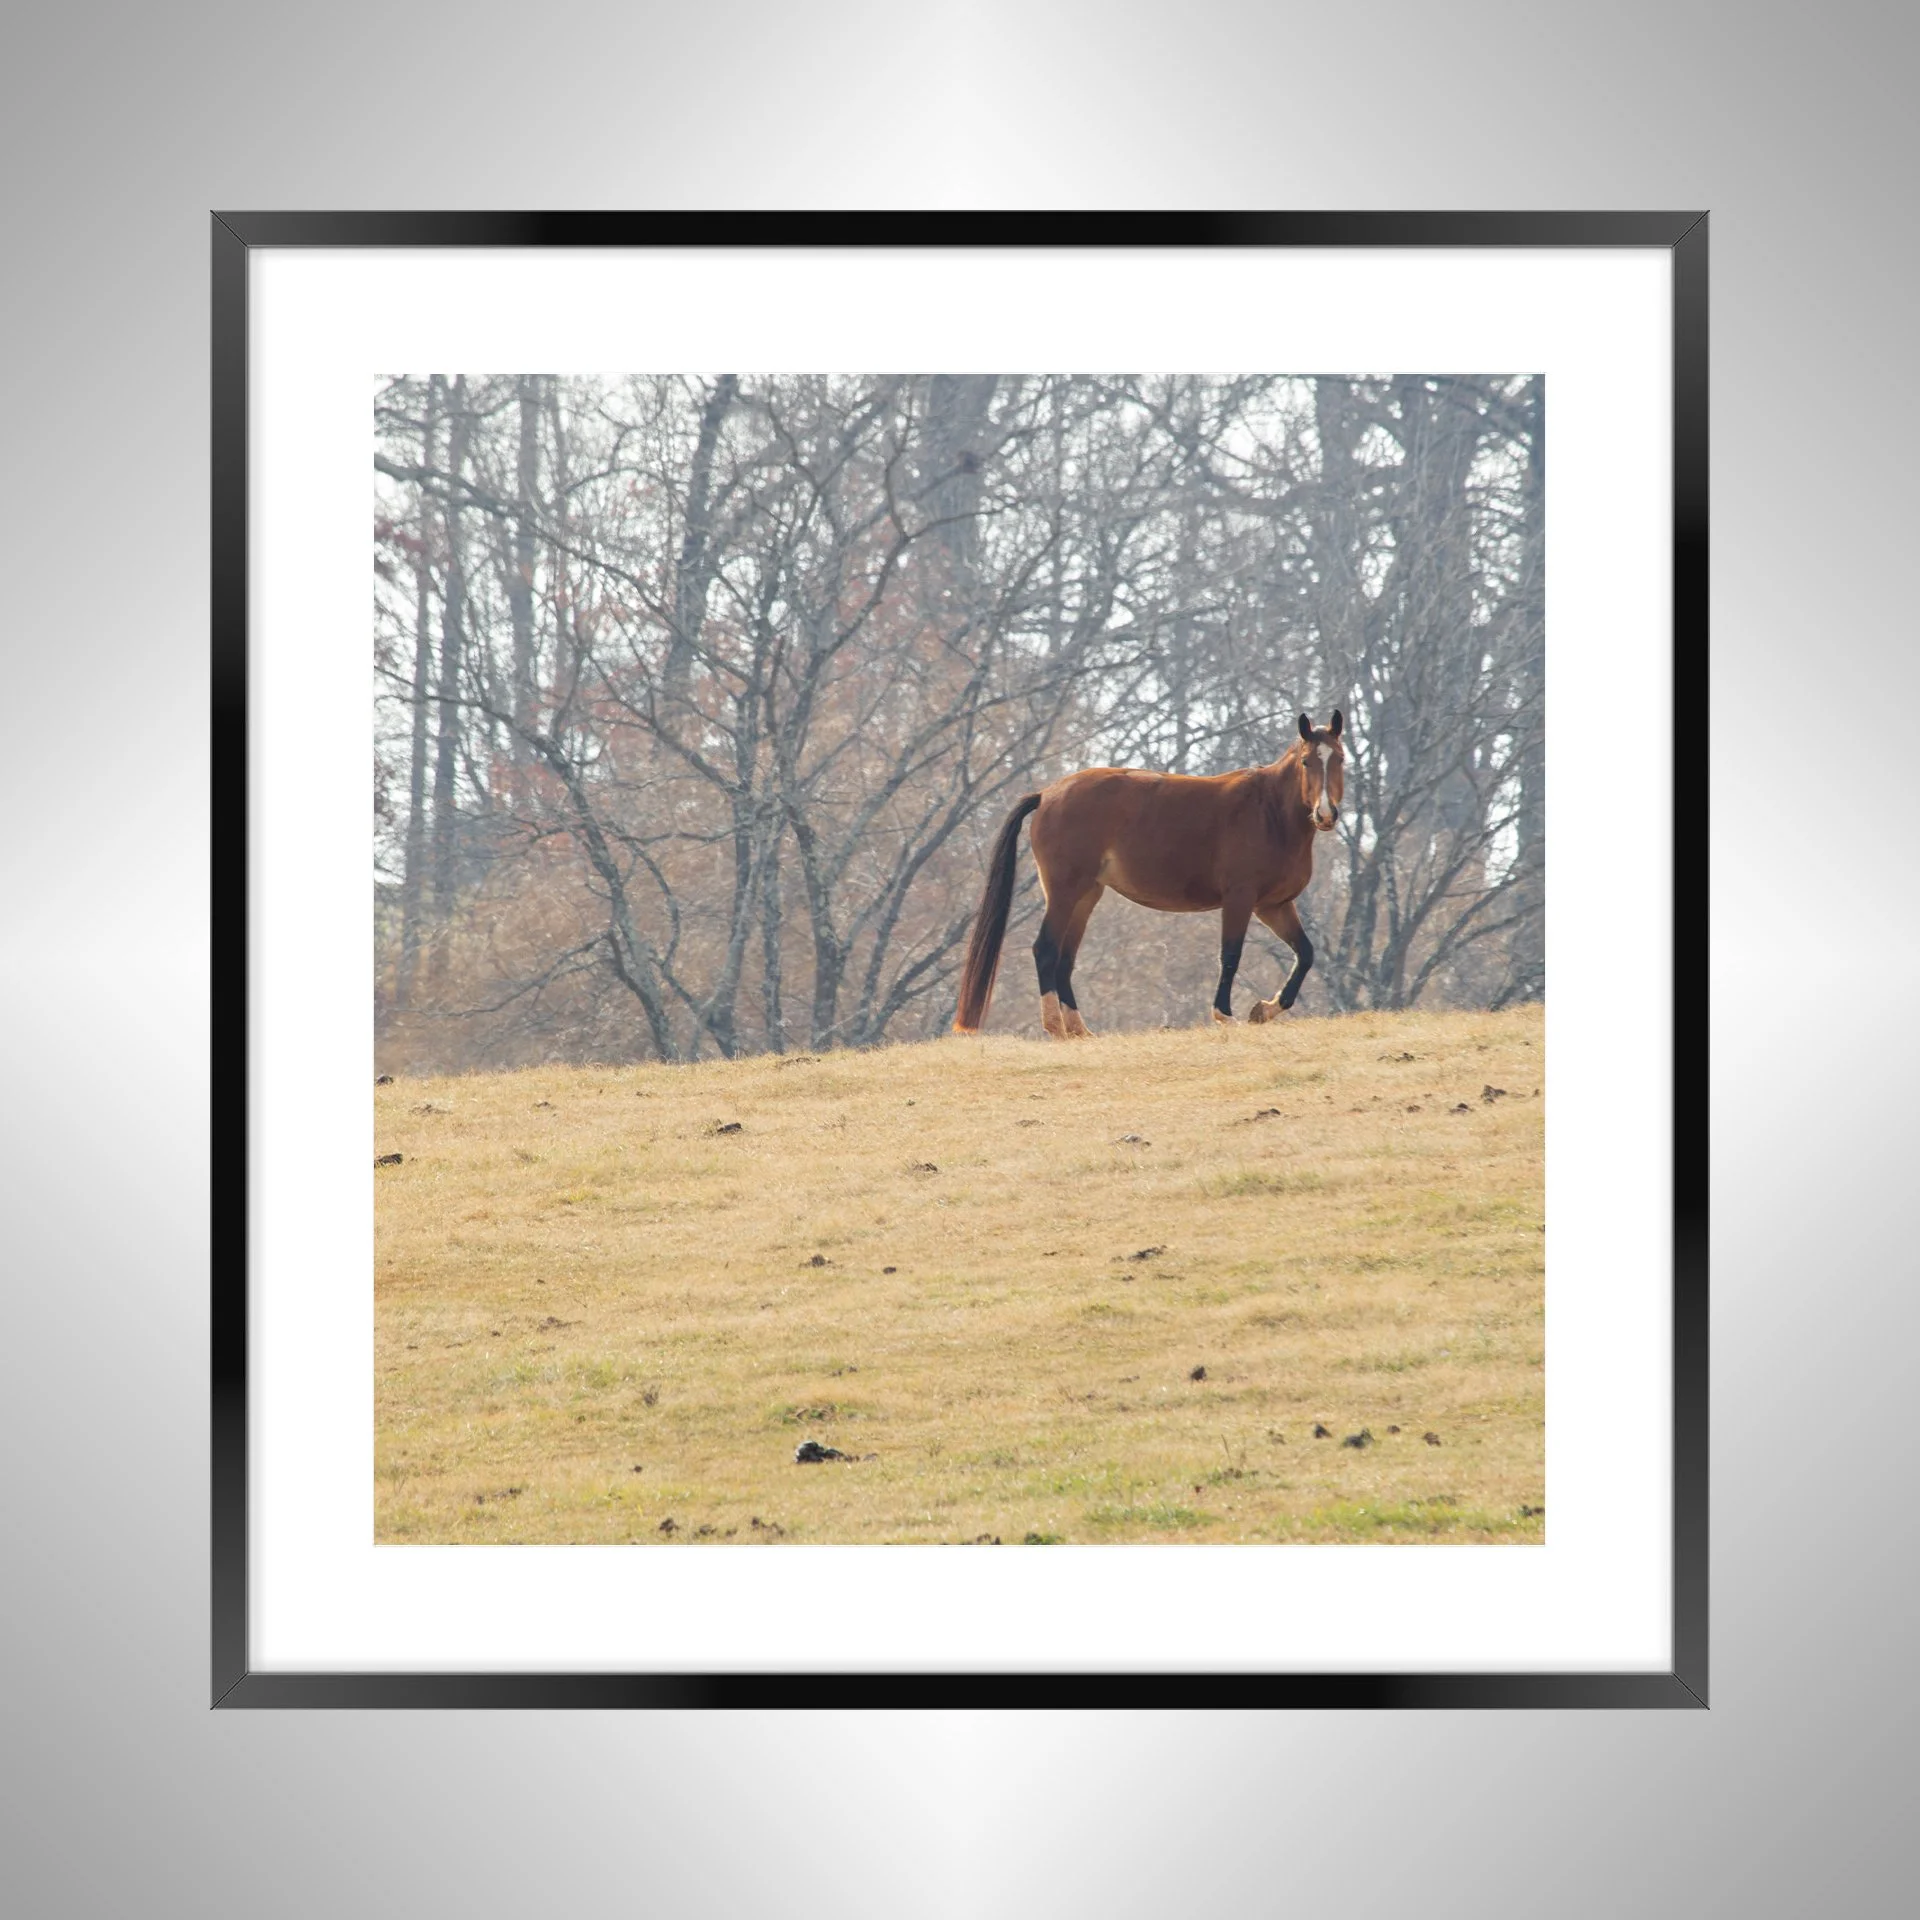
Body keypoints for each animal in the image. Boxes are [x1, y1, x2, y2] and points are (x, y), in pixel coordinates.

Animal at [952, 712, 1345, 1038]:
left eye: (1339, 759)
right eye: (1307, 761)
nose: (1326, 814)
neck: (1269, 812)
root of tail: (1047, 794)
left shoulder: (1273, 905)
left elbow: (1305, 954)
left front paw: (1264, 1009)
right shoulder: (1240, 899)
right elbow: (1231, 955)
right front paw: (1225, 1015)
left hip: (1086, 896)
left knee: (1065, 957)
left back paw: (1079, 1029)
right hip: (1065, 891)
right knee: (1045, 949)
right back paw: (1056, 1028)